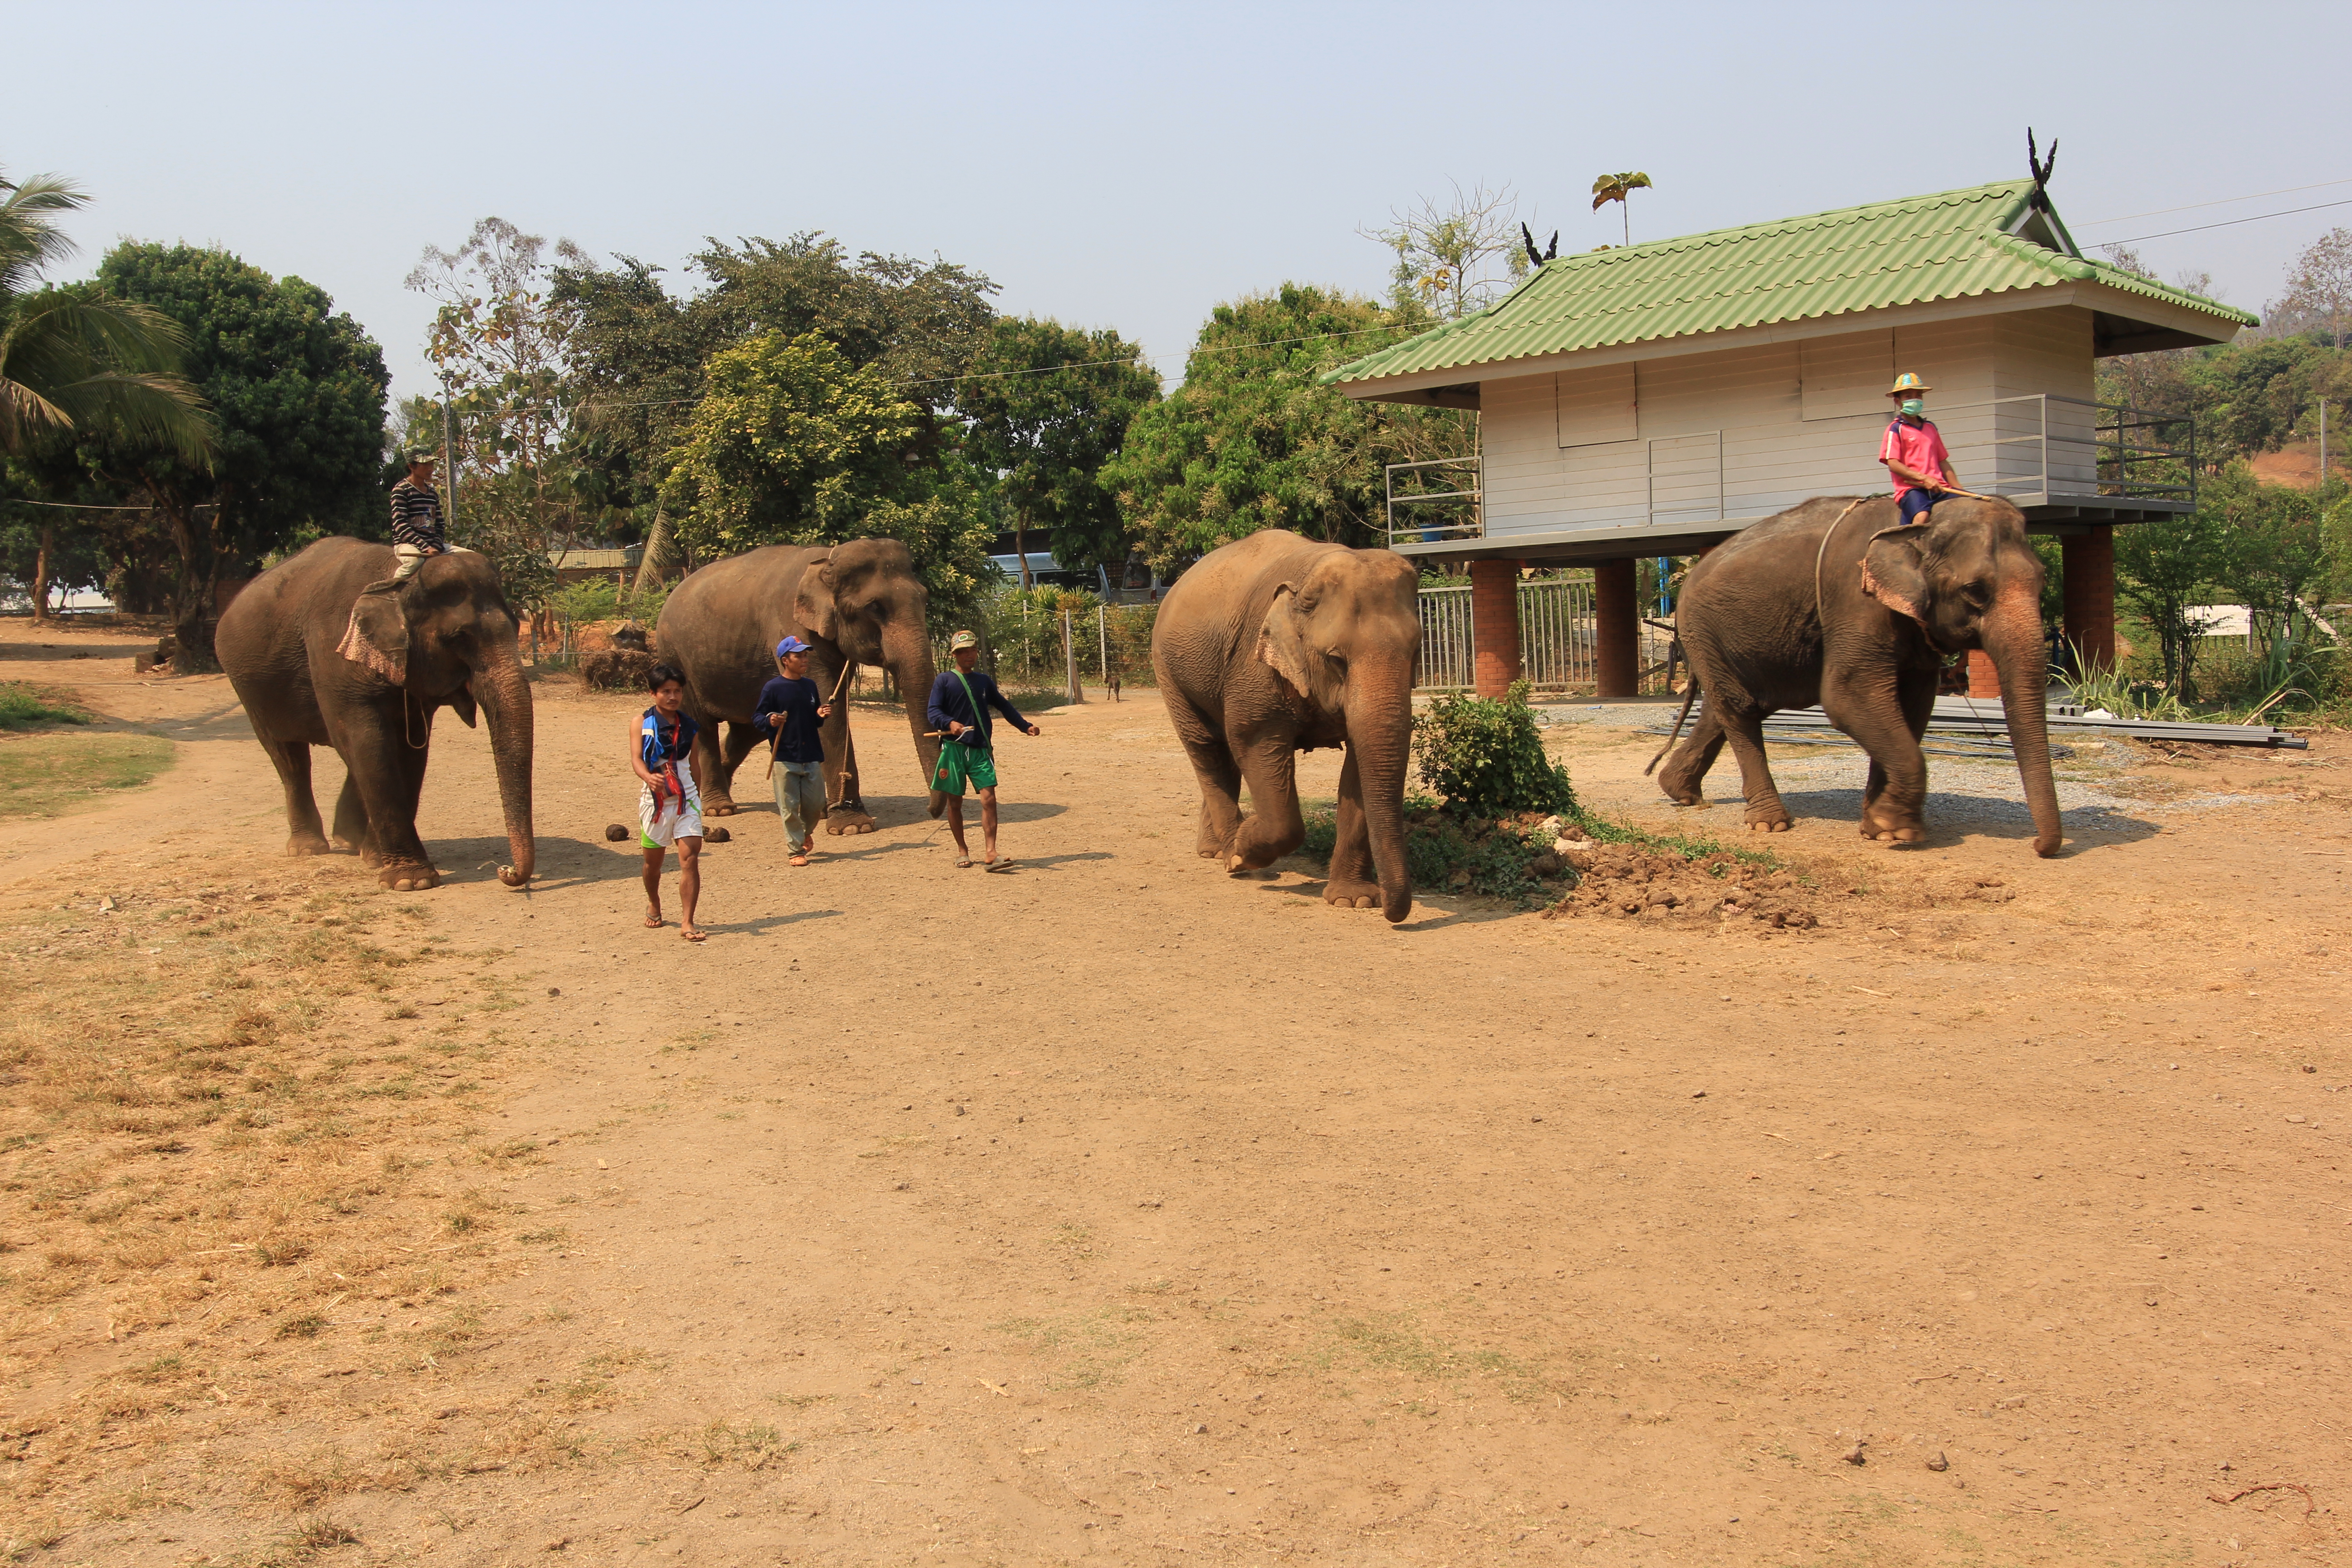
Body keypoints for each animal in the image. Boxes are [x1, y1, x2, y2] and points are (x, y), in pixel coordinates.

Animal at [217, 540, 539, 888]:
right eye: (458, 638)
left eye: (517, 628)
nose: (505, 871)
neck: (397, 580)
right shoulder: (334, 655)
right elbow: (370, 746)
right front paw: (411, 881)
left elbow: (410, 753)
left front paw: (380, 862)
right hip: (249, 689)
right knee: (289, 757)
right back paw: (308, 849)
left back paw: (352, 842)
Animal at [649, 540, 941, 832]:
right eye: (875, 607)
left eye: (925, 598)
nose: (933, 811)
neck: (826, 562)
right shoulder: (791, 628)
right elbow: (828, 712)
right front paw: (852, 826)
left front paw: (825, 813)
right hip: (677, 658)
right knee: (705, 726)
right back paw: (719, 808)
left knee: (747, 731)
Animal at [1152, 531, 1421, 921]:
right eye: (1336, 660)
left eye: (1417, 652)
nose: (1392, 913)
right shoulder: (1253, 667)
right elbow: (1253, 742)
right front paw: (1243, 850)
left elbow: (1359, 766)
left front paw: (1353, 901)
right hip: (1168, 671)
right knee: (1205, 746)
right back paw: (1229, 856)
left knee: (1222, 755)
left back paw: (1215, 850)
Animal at [1656, 496, 2060, 860]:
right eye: (1975, 590)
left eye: (2043, 581)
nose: (2040, 848)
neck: (1919, 525)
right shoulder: (1857, 602)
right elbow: (1848, 698)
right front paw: (1898, 831)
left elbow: (1913, 706)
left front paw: (1880, 829)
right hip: (1702, 629)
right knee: (1739, 709)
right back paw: (1770, 824)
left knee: (1730, 706)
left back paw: (1681, 793)